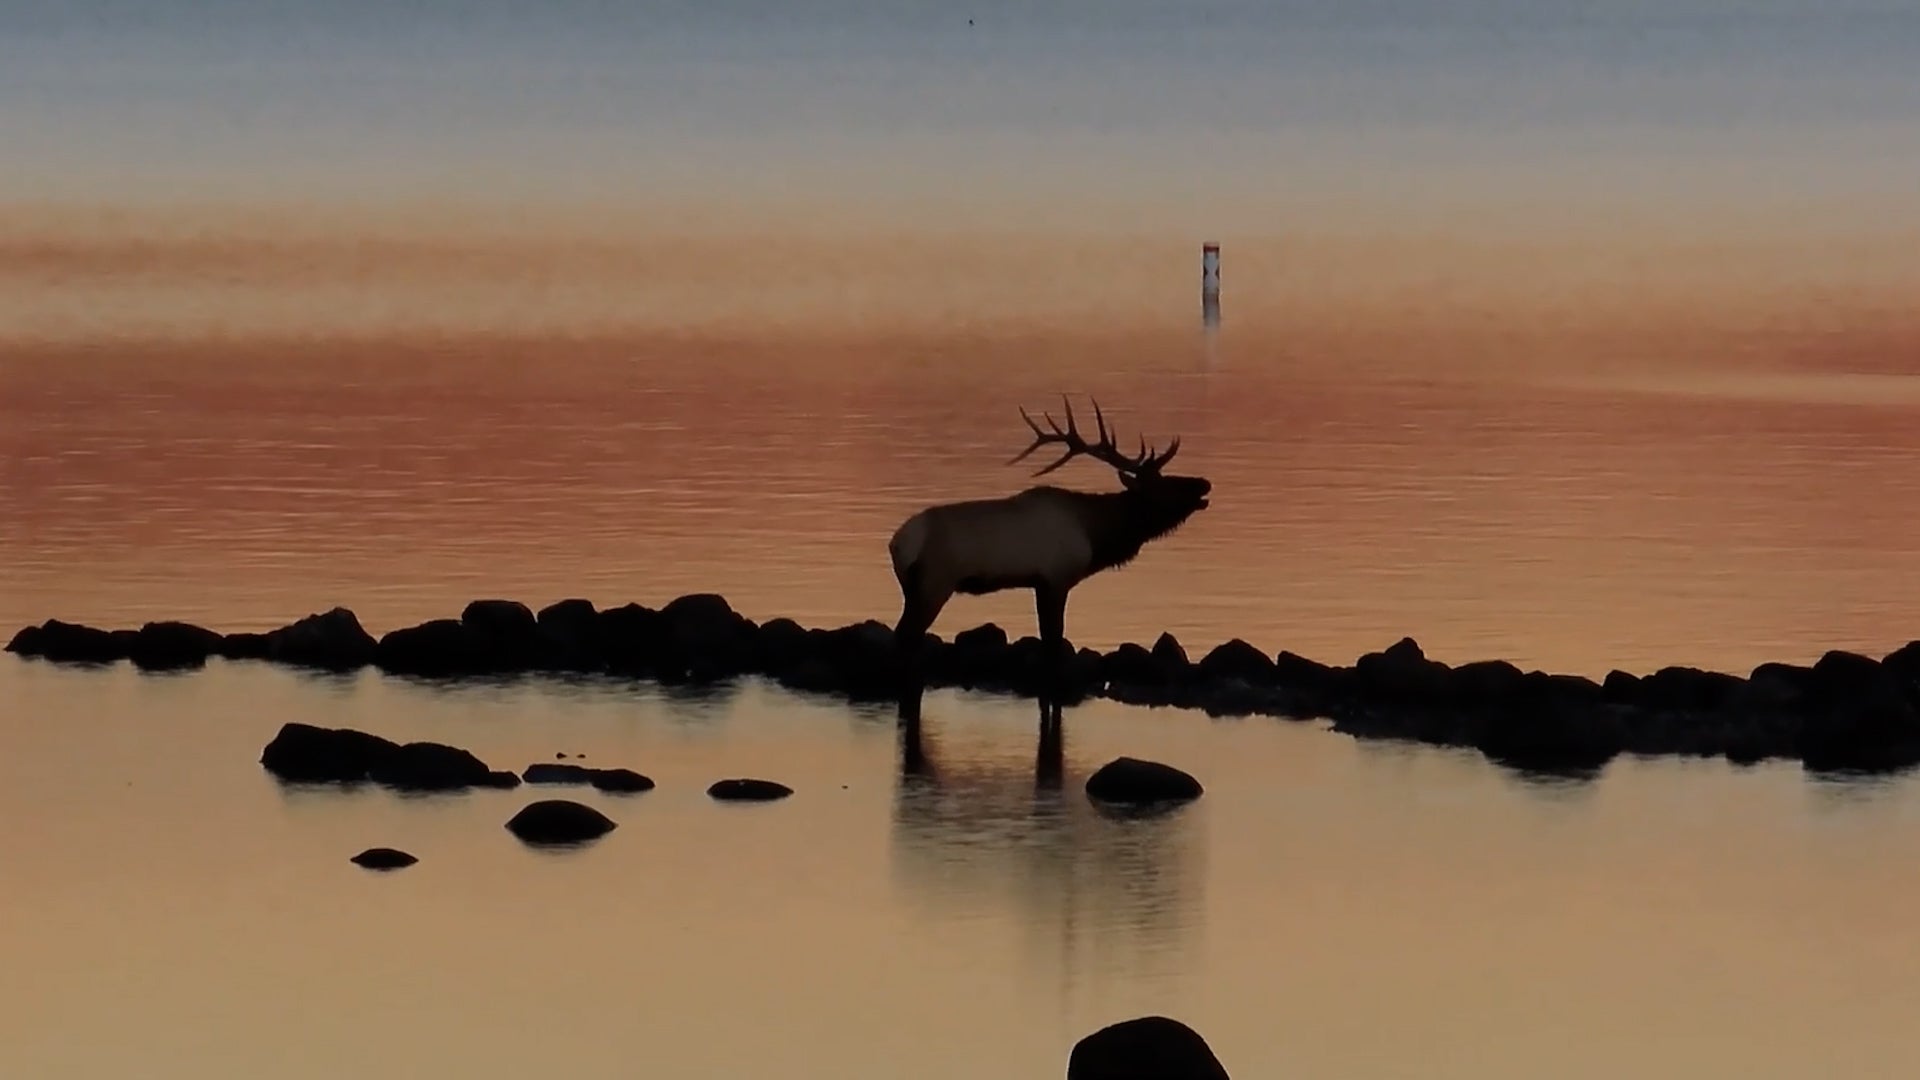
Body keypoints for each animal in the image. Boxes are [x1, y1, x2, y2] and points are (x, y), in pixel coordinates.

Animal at [887, 397, 1212, 726]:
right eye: (1165, 484)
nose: (1203, 483)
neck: (1095, 534)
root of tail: (898, 542)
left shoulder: (1039, 584)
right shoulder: (1057, 579)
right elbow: (1054, 645)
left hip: (911, 588)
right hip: (935, 583)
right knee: (907, 635)